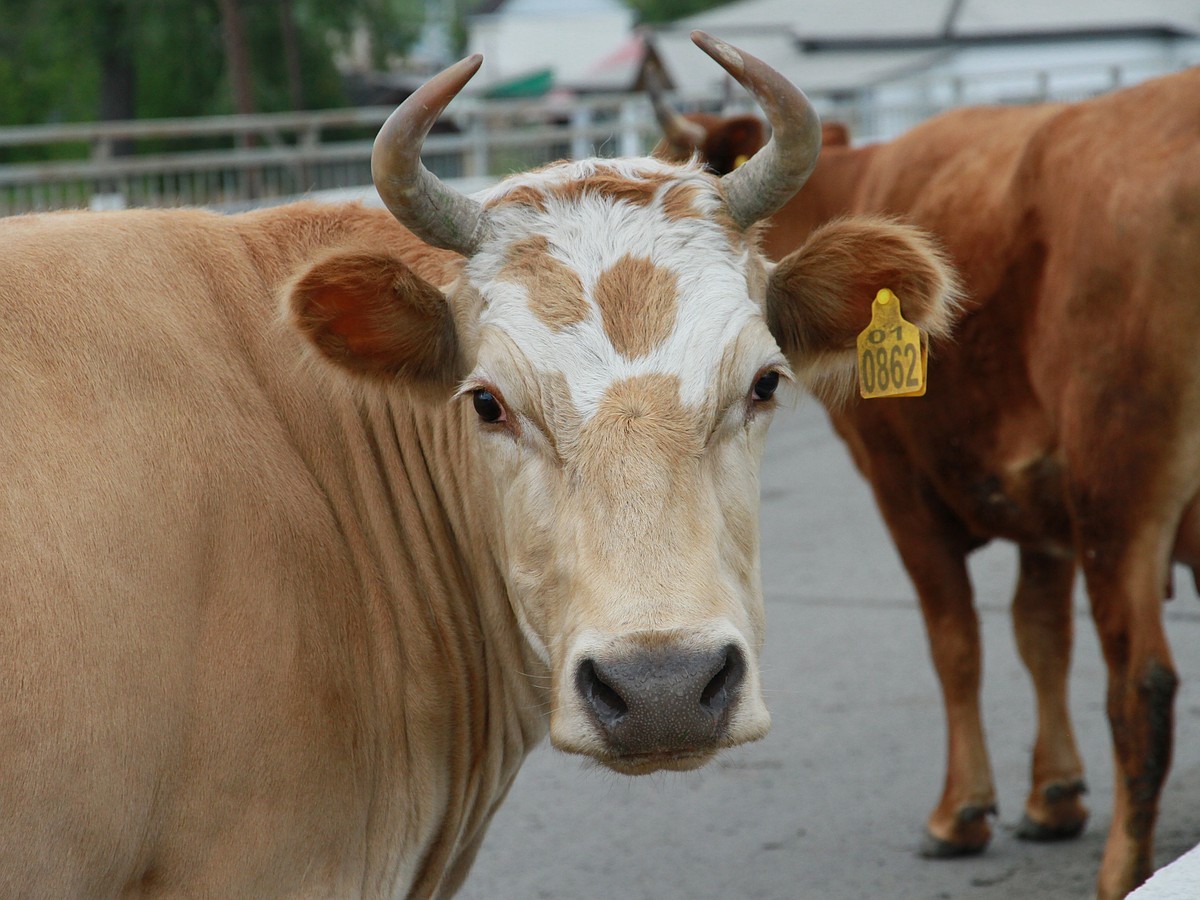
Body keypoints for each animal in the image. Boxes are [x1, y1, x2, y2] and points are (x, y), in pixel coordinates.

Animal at [652, 61, 1200, 897]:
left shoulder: (902, 487)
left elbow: (955, 643)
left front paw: (960, 811)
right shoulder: (1038, 505)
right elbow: (1041, 636)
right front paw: (1053, 796)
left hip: (1117, 491)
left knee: (1141, 684)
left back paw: (1121, 871)